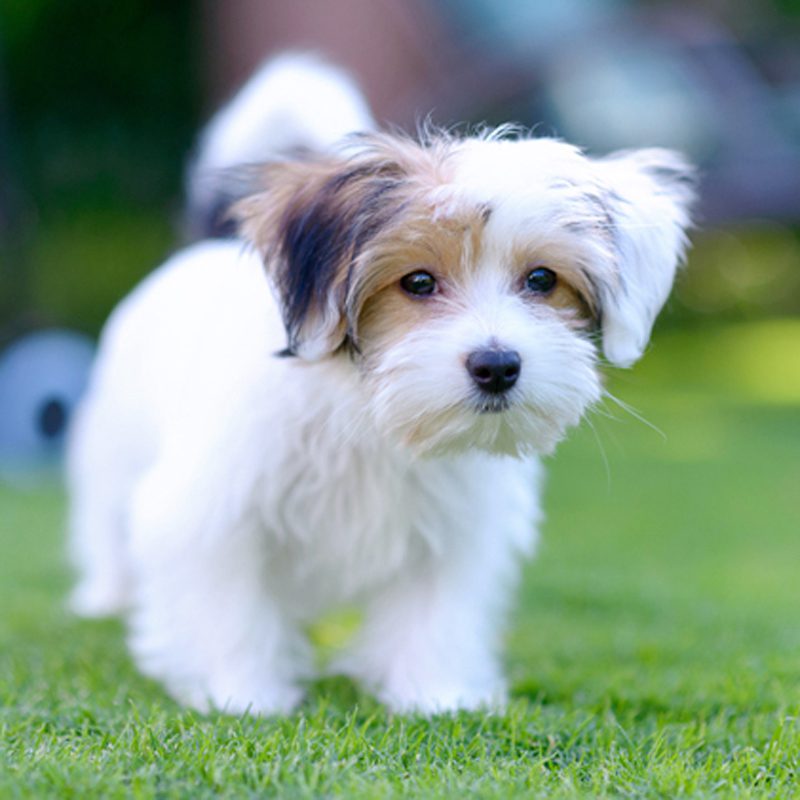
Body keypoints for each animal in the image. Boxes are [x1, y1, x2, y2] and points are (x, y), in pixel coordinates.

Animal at [69, 57, 692, 720]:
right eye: (417, 281)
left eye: (542, 280)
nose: (498, 365)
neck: (369, 411)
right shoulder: (212, 512)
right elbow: (227, 607)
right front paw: (242, 693)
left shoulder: (452, 528)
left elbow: (434, 613)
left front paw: (437, 694)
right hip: (110, 450)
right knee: (105, 520)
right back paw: (104, 596)